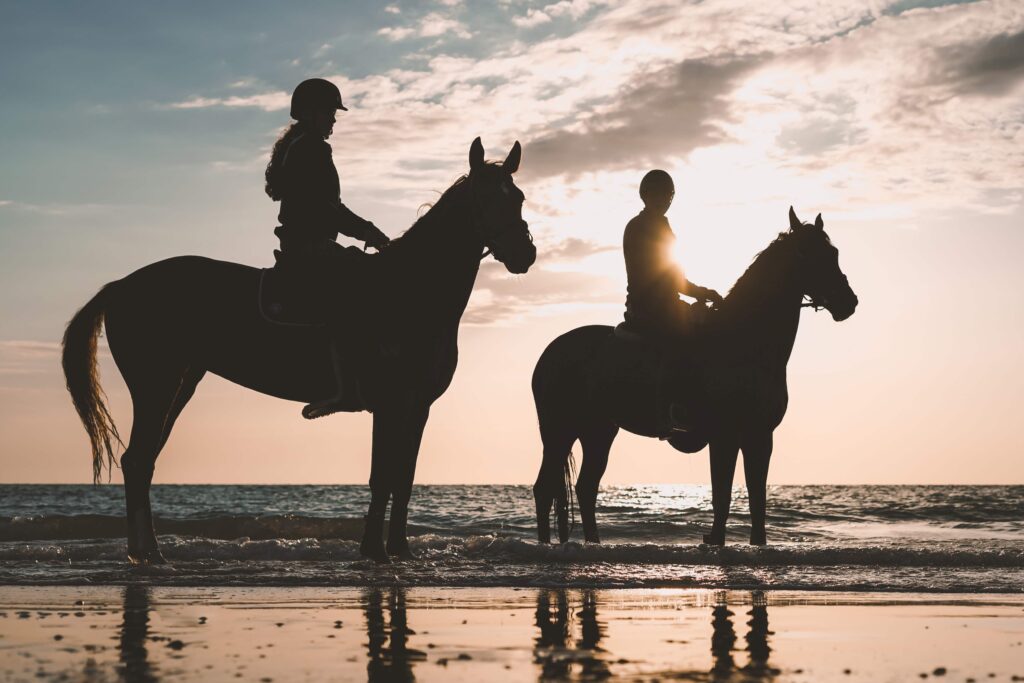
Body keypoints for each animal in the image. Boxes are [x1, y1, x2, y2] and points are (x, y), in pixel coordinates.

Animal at [61, 136, 536, 565]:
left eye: (518, 197)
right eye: (485, 199)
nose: (525, 254)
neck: (409, 290)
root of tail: (121, 286)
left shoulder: (417, 406)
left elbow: (404, 478)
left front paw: (400, 551)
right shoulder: (390, 403)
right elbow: (382, 477)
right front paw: (374, 552)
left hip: (180, 385)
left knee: (142, 462)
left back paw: (147, 552)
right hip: (155, 385)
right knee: (138, 460)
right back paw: (150, 553)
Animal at [528, 206, 856, 544]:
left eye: (833, 252)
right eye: (807, 252)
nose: (849, 302)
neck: (745, 342)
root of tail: (550, 352)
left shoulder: (761, 435)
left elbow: (757, 498)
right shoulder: (725, 435)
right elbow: (722, 494)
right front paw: (714, 539)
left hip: (598, 431)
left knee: (585, 487)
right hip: (558, 430)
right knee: (544, 488)